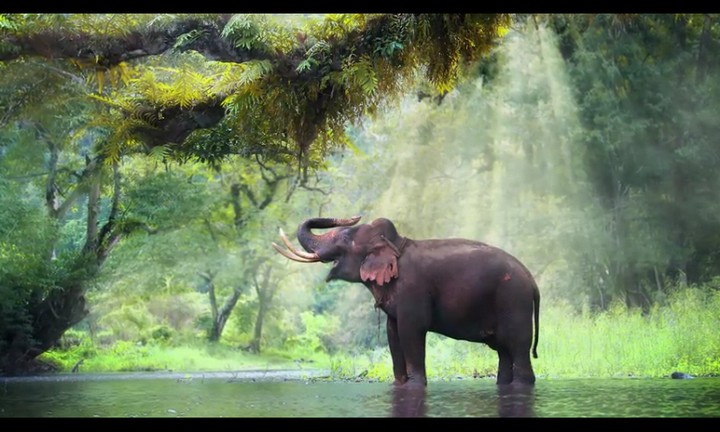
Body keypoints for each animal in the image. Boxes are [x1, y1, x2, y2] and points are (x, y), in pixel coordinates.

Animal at [272, 215, 540, 387]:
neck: (397, 244)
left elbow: (412, 330)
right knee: (504, 352)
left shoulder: (413, 289)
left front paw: (415, 385)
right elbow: (392, 333)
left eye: (346, 238)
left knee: (517, 348)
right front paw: (399, 384)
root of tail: (532, 282)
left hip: (514, 301)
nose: (352, 216)